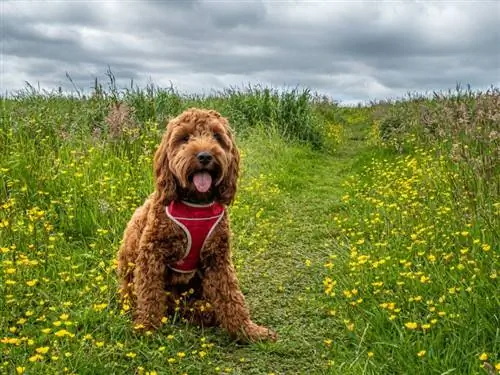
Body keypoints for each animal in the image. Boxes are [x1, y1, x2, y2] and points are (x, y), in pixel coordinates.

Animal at [116, 106, 278, 344]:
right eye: (184, 138)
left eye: (217, 137)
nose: (204, 156)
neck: (195, 203)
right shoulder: (151, 254)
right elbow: (149, 295)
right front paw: (146, 327)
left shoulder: (218, 257)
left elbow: (231, 296)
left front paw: (247, 331)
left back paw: (201, 312)